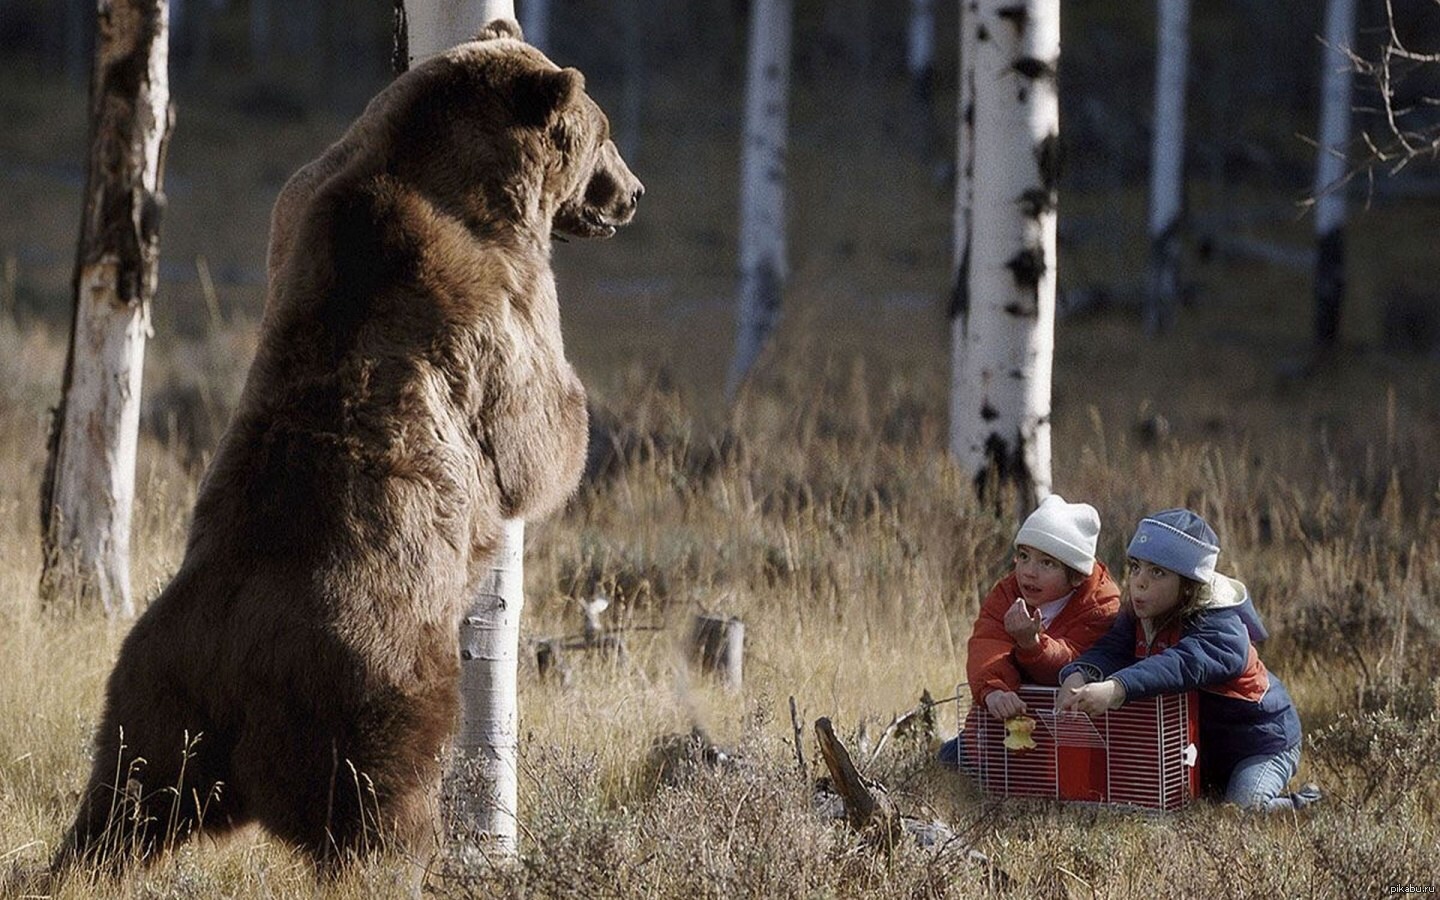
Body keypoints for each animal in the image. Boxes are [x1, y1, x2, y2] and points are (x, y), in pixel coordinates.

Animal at [56, 21, 639, 875]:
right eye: (604, 132)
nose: (631, 193)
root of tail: (236, 676)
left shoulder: (303, 201)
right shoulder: (494, 293)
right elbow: (533, 431)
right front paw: (574, 427)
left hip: (152, 701)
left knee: (121, 804)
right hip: (374, 694)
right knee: (381, 812)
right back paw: (407, 861)